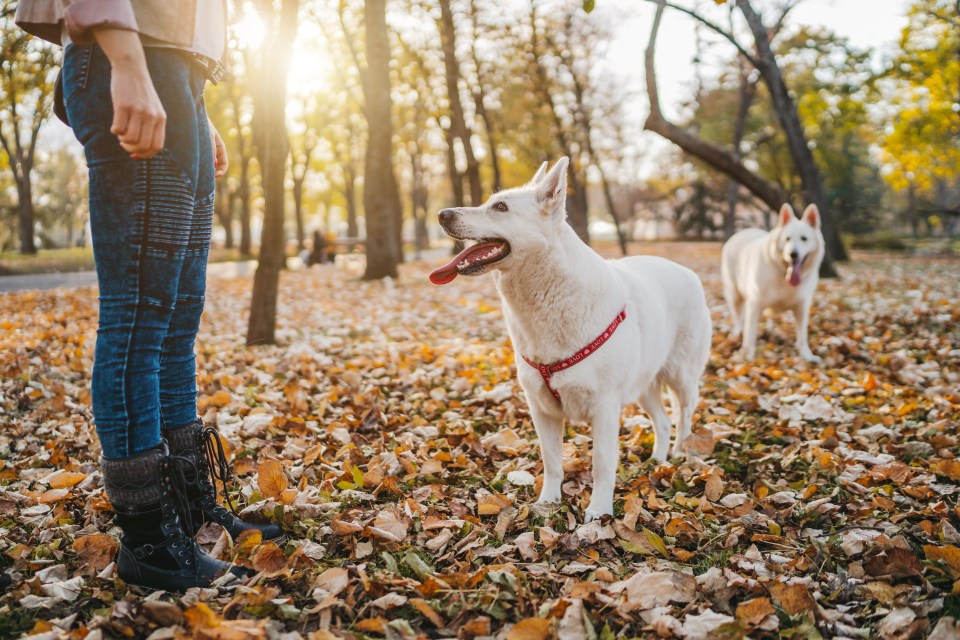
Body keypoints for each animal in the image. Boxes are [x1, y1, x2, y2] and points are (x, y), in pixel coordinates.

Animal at [428, 159, 712, 520]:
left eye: (501, 208)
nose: (442, 214)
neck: (550, 295)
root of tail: (687, 272)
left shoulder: (604, 409)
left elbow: (602, 465)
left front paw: (598, 512)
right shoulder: (542, 409)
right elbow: (552, 462)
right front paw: (548, 502)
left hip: (681, 377)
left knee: (685, 417)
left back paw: (680, 457)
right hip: (644, 385)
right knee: (662, 423)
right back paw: (657, 463)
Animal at [720, 205, 824, 364]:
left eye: (804, 239)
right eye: (787, 239)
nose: (793, 254)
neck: (784, 276)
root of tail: (741, 232)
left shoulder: (802, 306)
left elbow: (802, 336)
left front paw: (807, 355)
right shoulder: (754, 303)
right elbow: (750, 332)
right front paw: (747, 355)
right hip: (734, 295)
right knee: (738, 319)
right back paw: (736, 335)